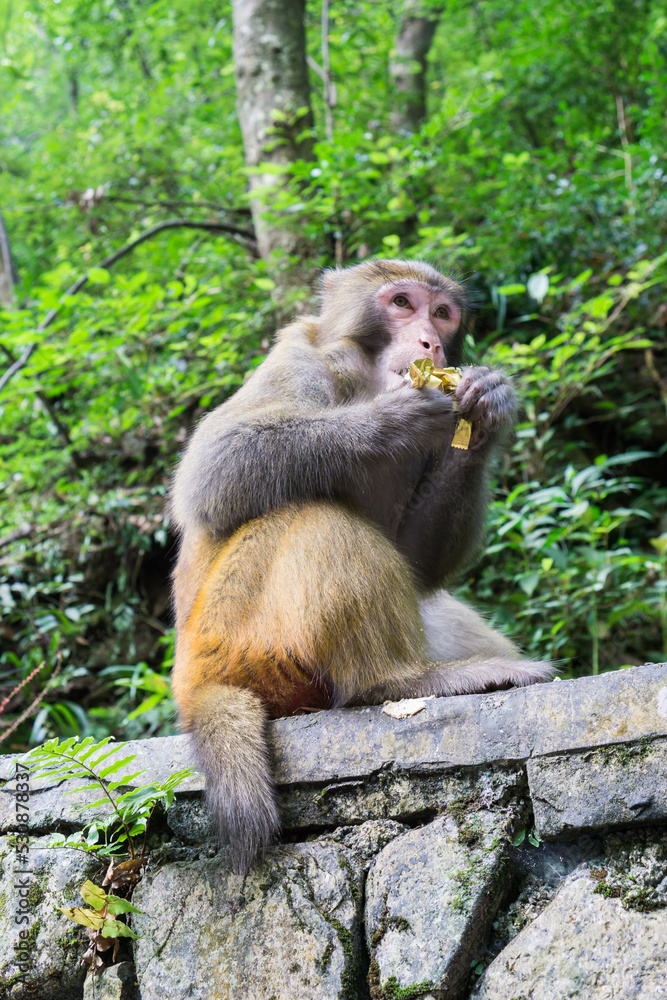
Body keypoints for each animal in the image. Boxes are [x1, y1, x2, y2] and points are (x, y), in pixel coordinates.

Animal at [171, 260, 552, 876]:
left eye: (442, 313)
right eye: (401, 303)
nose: (430, 342)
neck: (366, 378)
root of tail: (192, 684)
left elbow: (416, 560)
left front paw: (488, 409)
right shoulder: (296, 356)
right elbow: (213, 470)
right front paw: (391, 419)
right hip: (237, 634)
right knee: (311, 511)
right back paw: (397, 683)